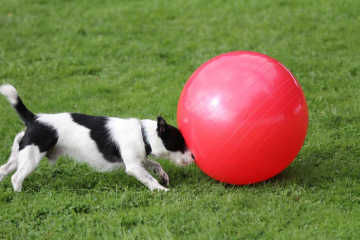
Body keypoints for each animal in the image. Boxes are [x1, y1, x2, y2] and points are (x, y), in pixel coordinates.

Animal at [0, 83, 194, 192]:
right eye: (180, 144)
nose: (193, 156)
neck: (142, 134)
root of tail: (34, 119)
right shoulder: (133, 166)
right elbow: (149, 178)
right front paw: (161, 189)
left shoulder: (139, 160)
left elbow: (155, 164)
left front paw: (163, 176)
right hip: (31, 157)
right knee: (16, 177)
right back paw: (20, 194)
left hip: (19, 154)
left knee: (4, 169)